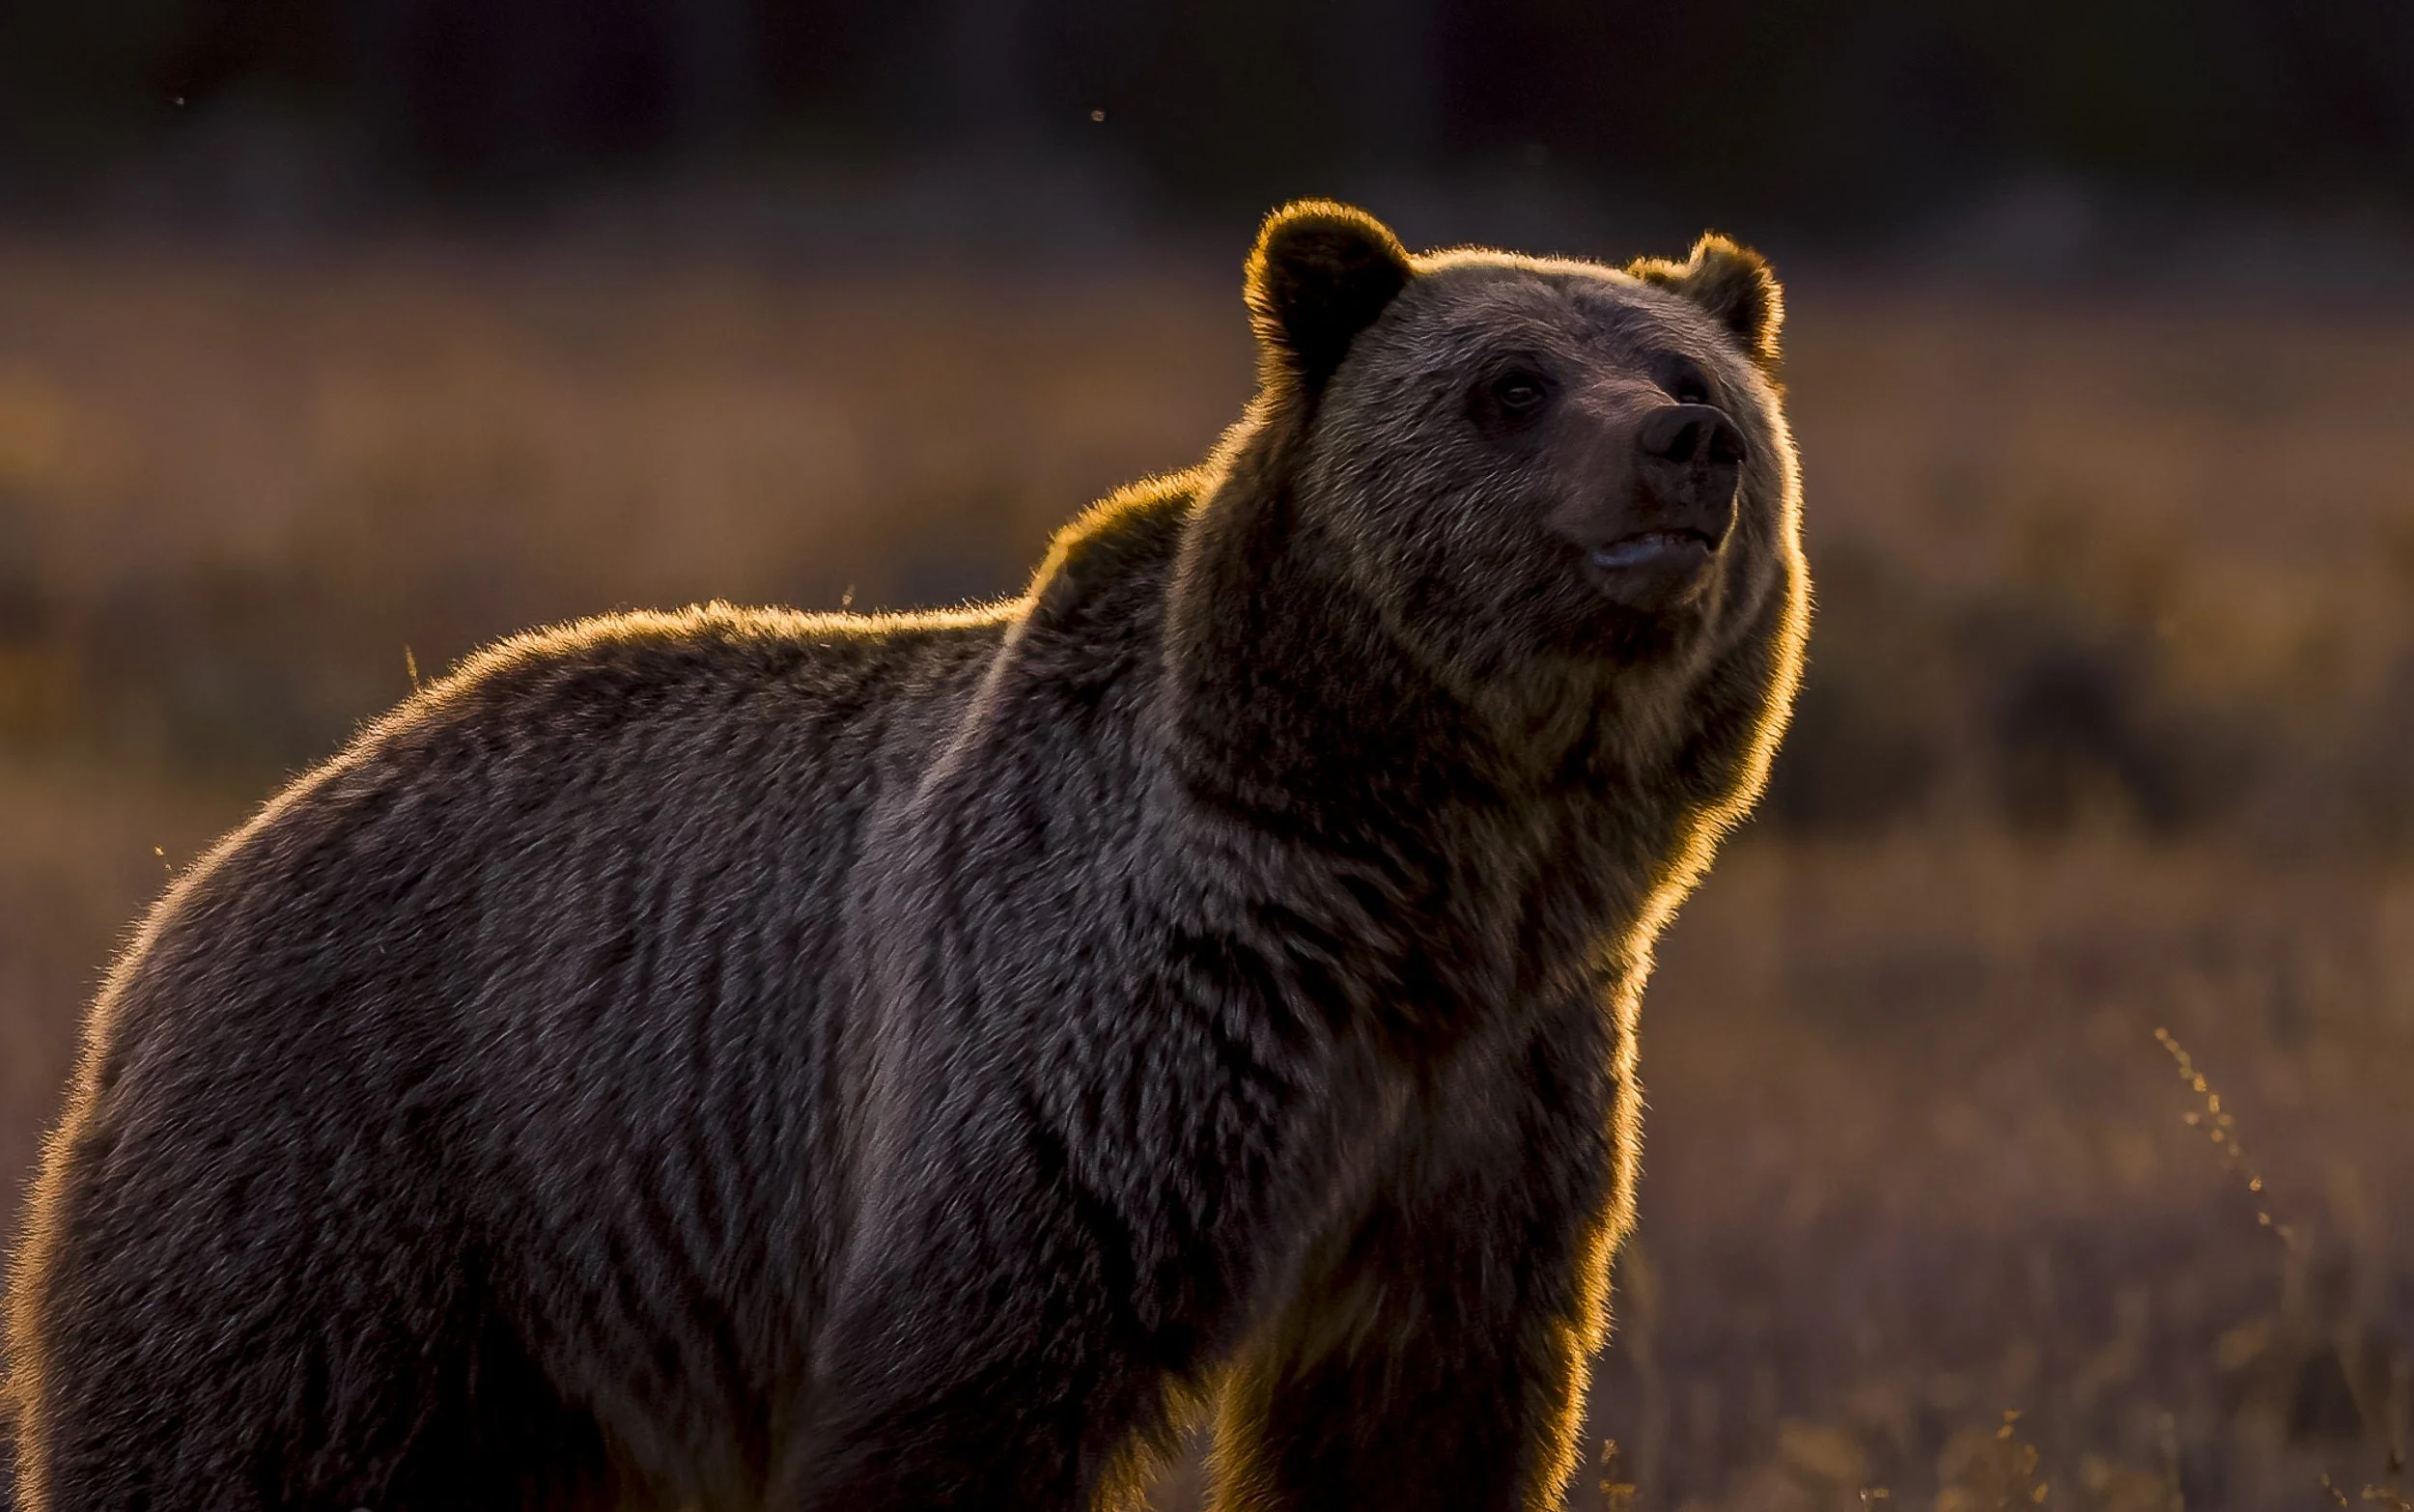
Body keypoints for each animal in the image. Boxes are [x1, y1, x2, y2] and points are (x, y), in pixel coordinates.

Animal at [3, 201, 1807, 1512]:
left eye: (1695, 379)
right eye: (1511, 386)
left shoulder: (1490, 1098)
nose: (1682, 445)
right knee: (222, 1440)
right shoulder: (1111, 1033)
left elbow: (1422, 1416)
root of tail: (189, 889)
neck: (1422, 862)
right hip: (350, 1187)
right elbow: (974, 1375)